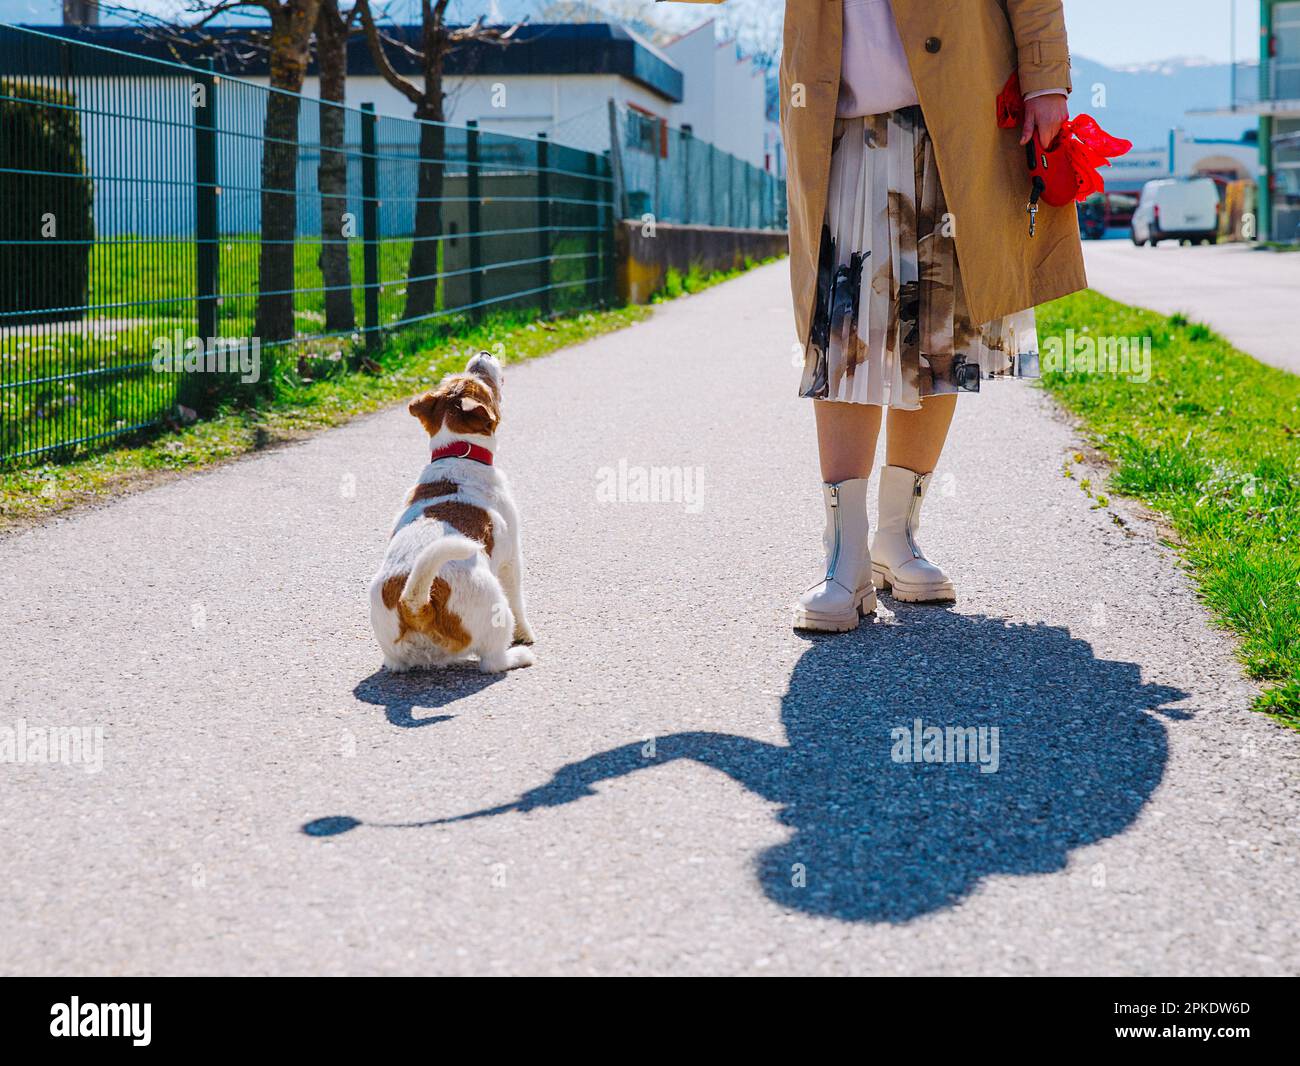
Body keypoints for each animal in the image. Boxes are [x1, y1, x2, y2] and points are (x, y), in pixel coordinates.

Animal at [369, 351, 535, 670]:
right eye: (483, 385)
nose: (484, 353)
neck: (458, 454)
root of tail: (414, 605)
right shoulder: (511, 560)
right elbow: (520, 601)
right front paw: (526, 635)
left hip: (394, 652)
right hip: (495, 605)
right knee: (492, 660)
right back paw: (518, 655)